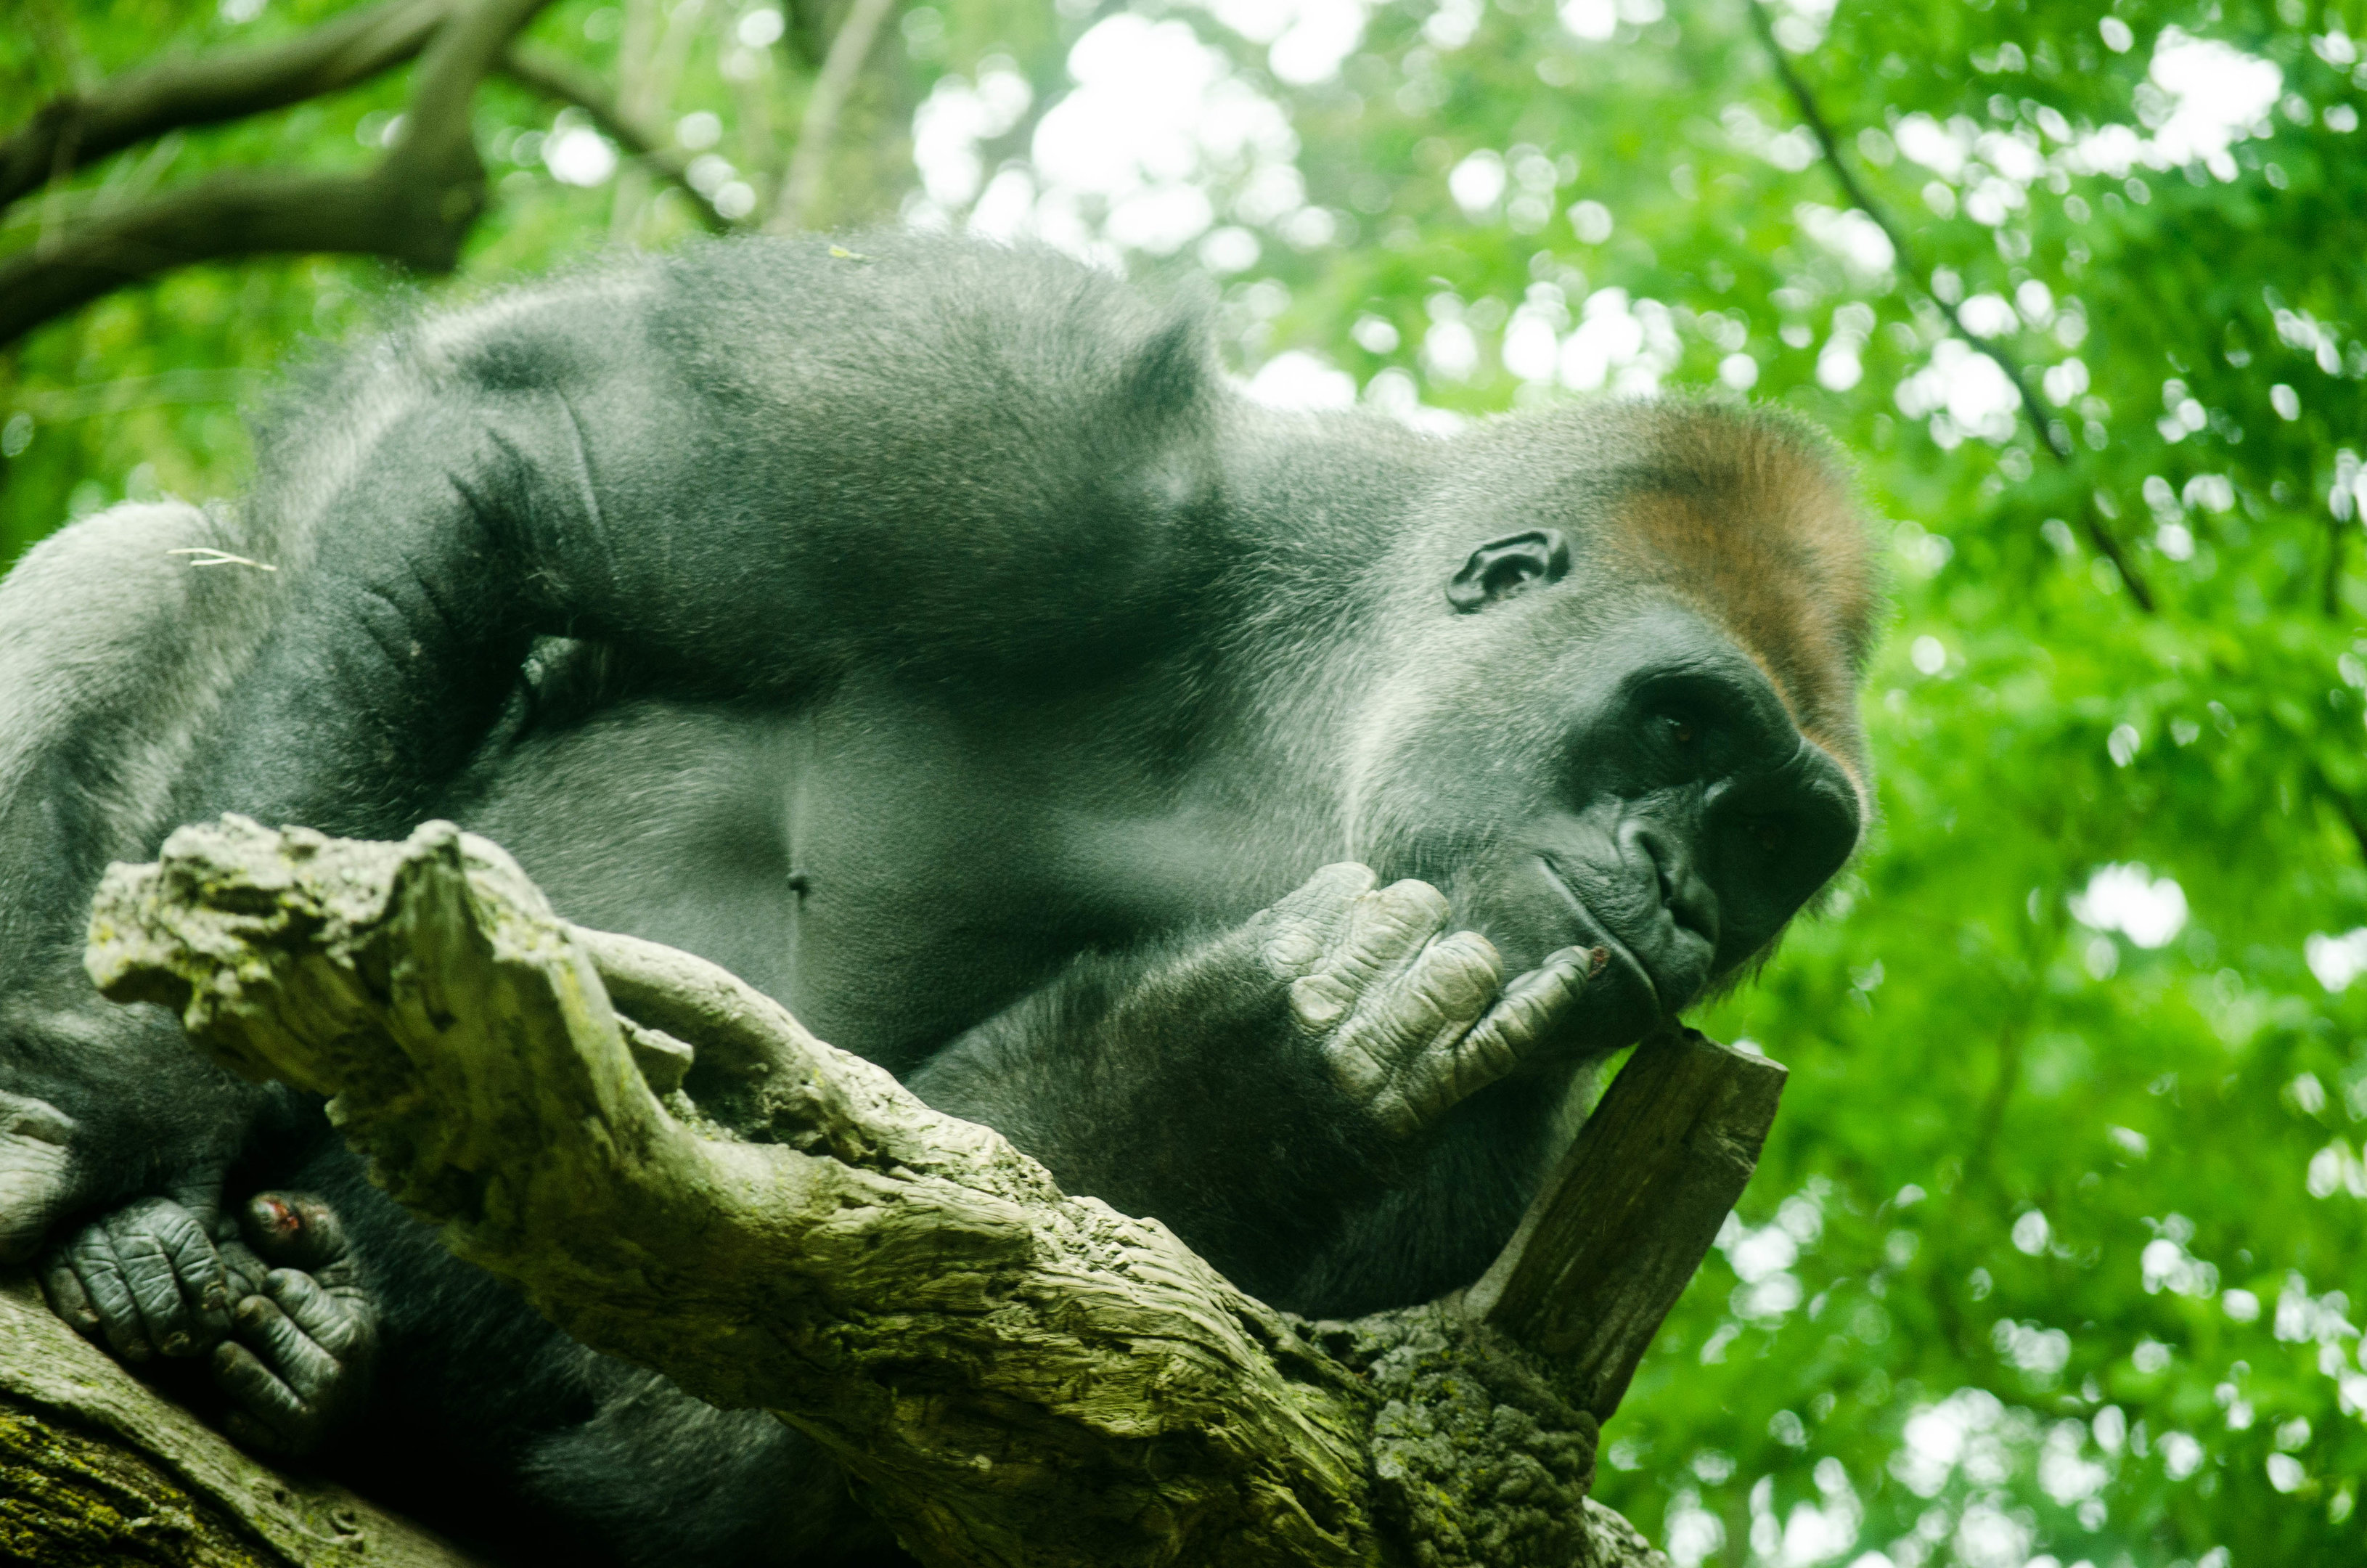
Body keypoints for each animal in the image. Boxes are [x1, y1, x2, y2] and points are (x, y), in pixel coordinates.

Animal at [0, 231, 1875, 1563]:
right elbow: (524, 446)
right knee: (162, 561)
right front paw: (147, 1094)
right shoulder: (1057, 434)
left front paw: (1219, 1078)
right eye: (1675, 726)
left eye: (1772, 841)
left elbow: (721, 1460)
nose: (1678, 884)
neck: (1302, 742)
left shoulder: (1491, 1180)